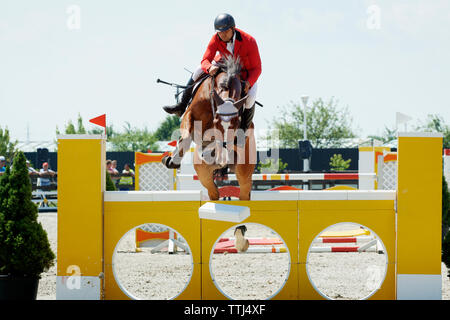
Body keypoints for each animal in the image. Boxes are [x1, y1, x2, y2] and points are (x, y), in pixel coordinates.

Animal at [162, 55, 255, 200]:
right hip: (203, 172)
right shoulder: (189, 115)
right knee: (214, 192)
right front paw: (174, 158)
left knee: (243, 192)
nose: (223, 158)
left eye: (236, 125)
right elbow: (186, 136)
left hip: (244, 173)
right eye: (216, 122)